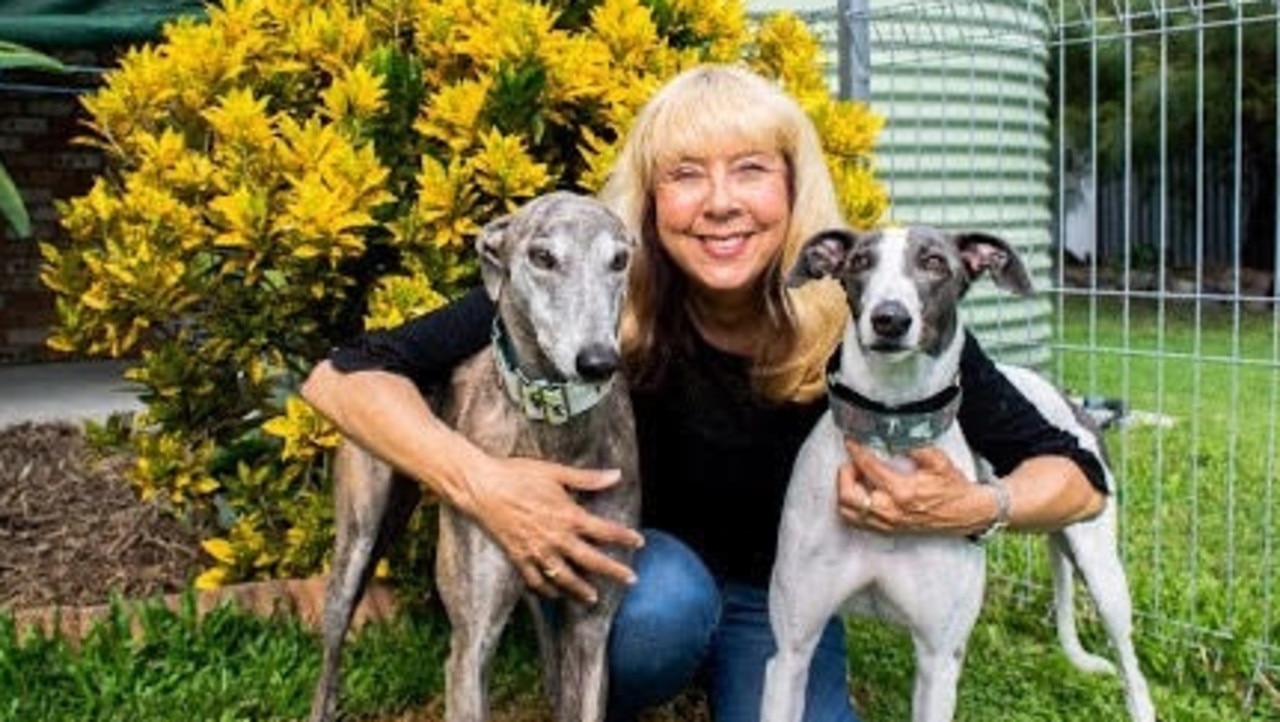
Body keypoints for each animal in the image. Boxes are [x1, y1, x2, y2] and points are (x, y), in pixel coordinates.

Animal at [762, 226, 1157, 722]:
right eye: (859, 262)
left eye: (934, 262)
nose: (889, 319)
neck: (891, 432)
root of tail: (1062, 392)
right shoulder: (790, 653)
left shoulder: (939, 660)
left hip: (1103, 573)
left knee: (1131, 669)